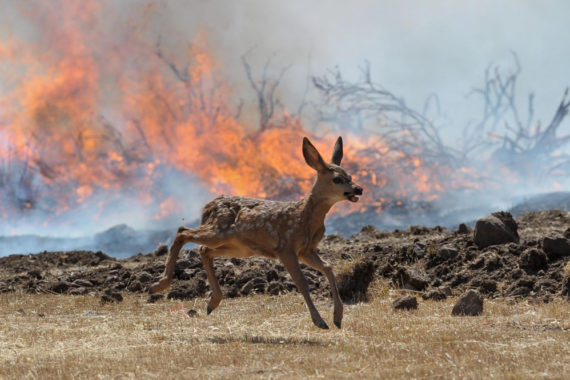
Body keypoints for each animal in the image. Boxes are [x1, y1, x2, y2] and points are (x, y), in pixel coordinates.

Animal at [146, 137, 360, 330]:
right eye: (337, 179)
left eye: (349, 176)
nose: (359, 188)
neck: (305, 217)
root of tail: (209, 206)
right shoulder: (286, 247)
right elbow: (302, 282)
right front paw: (320, 321)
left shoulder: (306, 251)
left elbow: (329, 268)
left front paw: (337, 318)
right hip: (219, 231)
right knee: (183, 233)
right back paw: (158, 285)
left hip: (238, 247)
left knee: (204, 250)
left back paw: (212, 302)